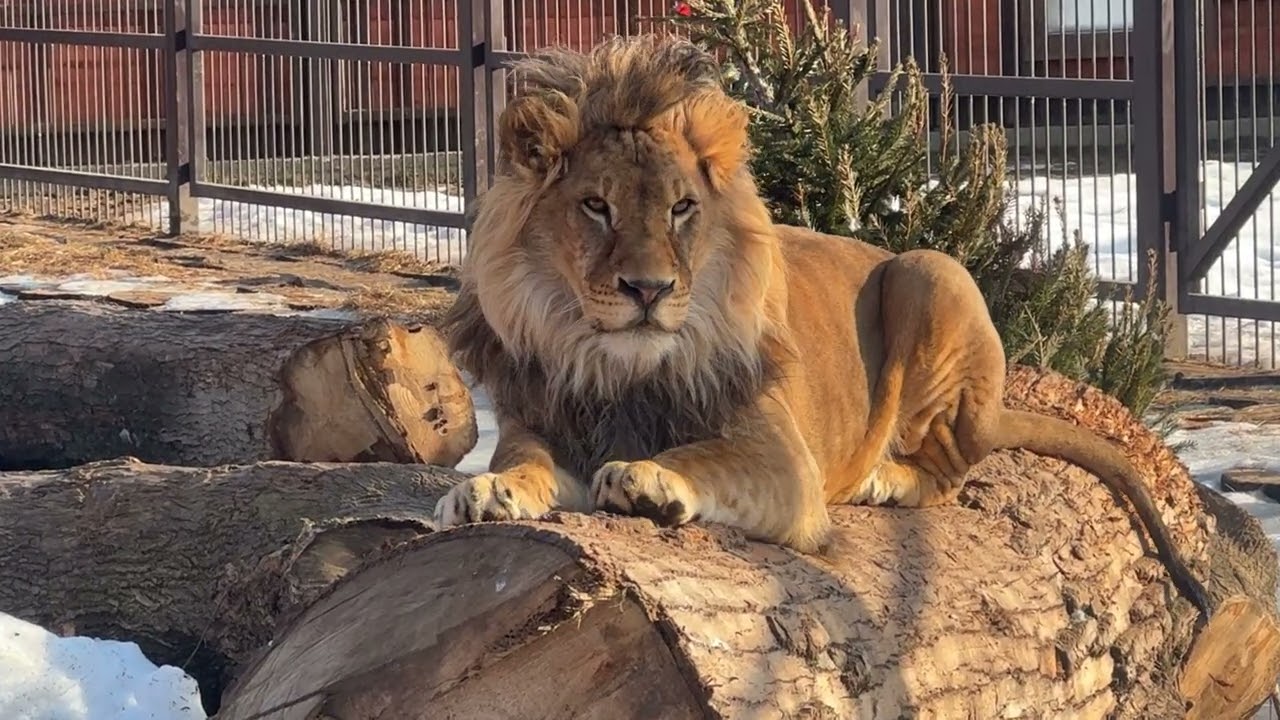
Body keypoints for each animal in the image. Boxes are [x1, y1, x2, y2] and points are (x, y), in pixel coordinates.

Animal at [433, 34, 1212, 618]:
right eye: (596, 207)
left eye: (682, 208)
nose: (649, 289)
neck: (619, 365)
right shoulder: (537, 422)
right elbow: (522, 463)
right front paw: (485, 492)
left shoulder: (782, 459)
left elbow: (701, 456)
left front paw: (647, 478)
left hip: (929, 272)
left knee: (952, 469)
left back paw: (880, 478)